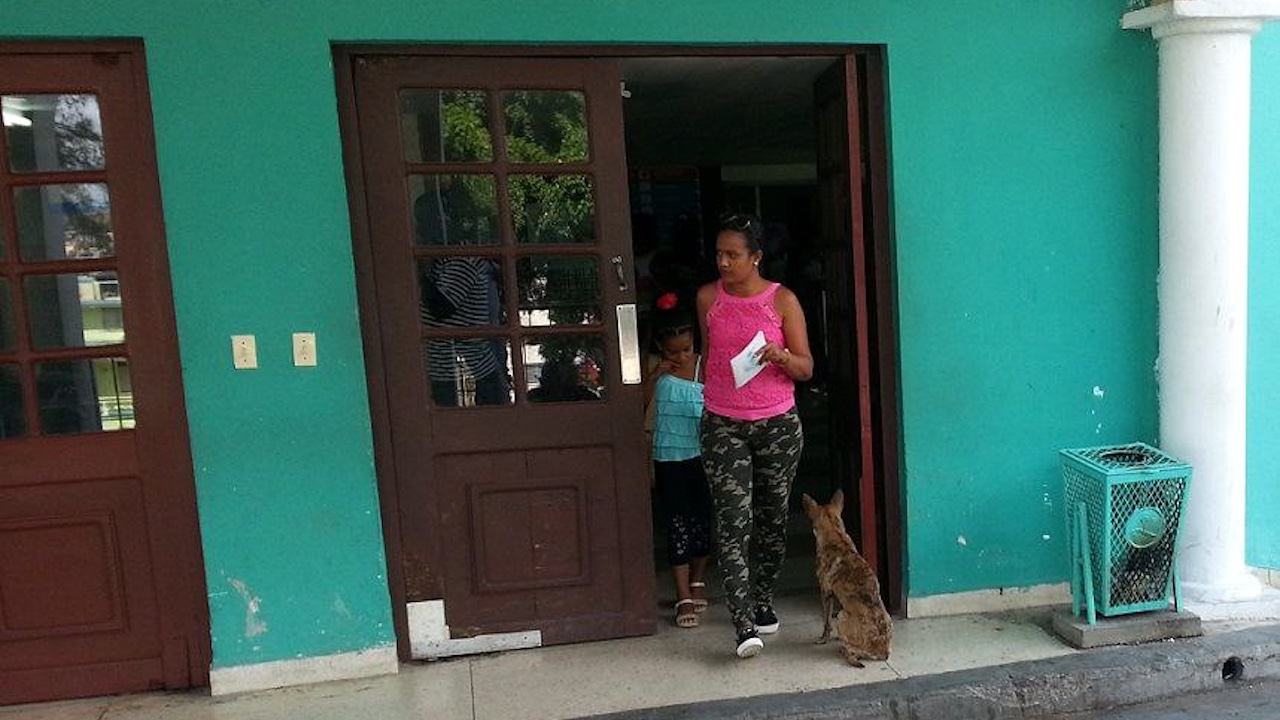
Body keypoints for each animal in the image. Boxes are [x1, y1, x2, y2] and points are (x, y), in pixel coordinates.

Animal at [798, 486, 890, 666]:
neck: (835, 533)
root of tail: (882, 652)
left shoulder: (825, 592)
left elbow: (826, 620)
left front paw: (823, 639)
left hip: (841, 615)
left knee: (853, 650)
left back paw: (844, 650)